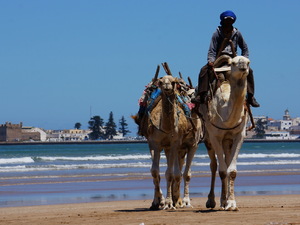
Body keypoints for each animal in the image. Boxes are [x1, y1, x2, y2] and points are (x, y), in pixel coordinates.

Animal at [132, 66, 203, 210]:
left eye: (173, 82)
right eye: (161, 82)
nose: (166, 86)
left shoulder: (186, 144)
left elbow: (177, 173)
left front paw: (176, 202)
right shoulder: (155, 143)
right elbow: (155, 172)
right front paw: (158, 201)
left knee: (180, 171)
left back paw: (179, 200)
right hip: (166, 147)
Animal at [199, 55, 251, 211]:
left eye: (248, 62)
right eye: (233, 63)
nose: (243, 66)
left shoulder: (239, 135)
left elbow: (231, 170)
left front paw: (231, 203)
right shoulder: (215, 136)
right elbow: (222, 170)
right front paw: (223, 202)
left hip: (227, 141)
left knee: (227, 161)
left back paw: (225, 200)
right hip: (208, 139)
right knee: (213, 165)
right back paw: (212, 201)